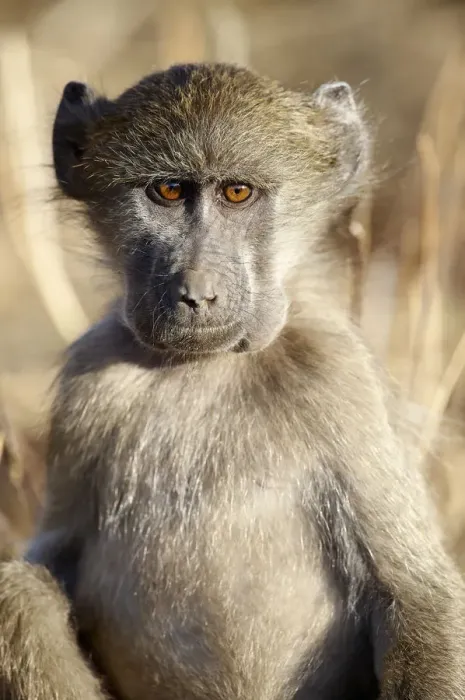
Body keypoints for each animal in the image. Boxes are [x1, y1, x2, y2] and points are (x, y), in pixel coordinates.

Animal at [1, 62, 465, 700]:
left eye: (237, 193)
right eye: (168, 192)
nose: (197, 293)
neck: (209, 366)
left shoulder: (341, 377)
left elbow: (416, 595)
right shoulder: (88, 386)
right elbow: (49, 562)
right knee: (18, 595)